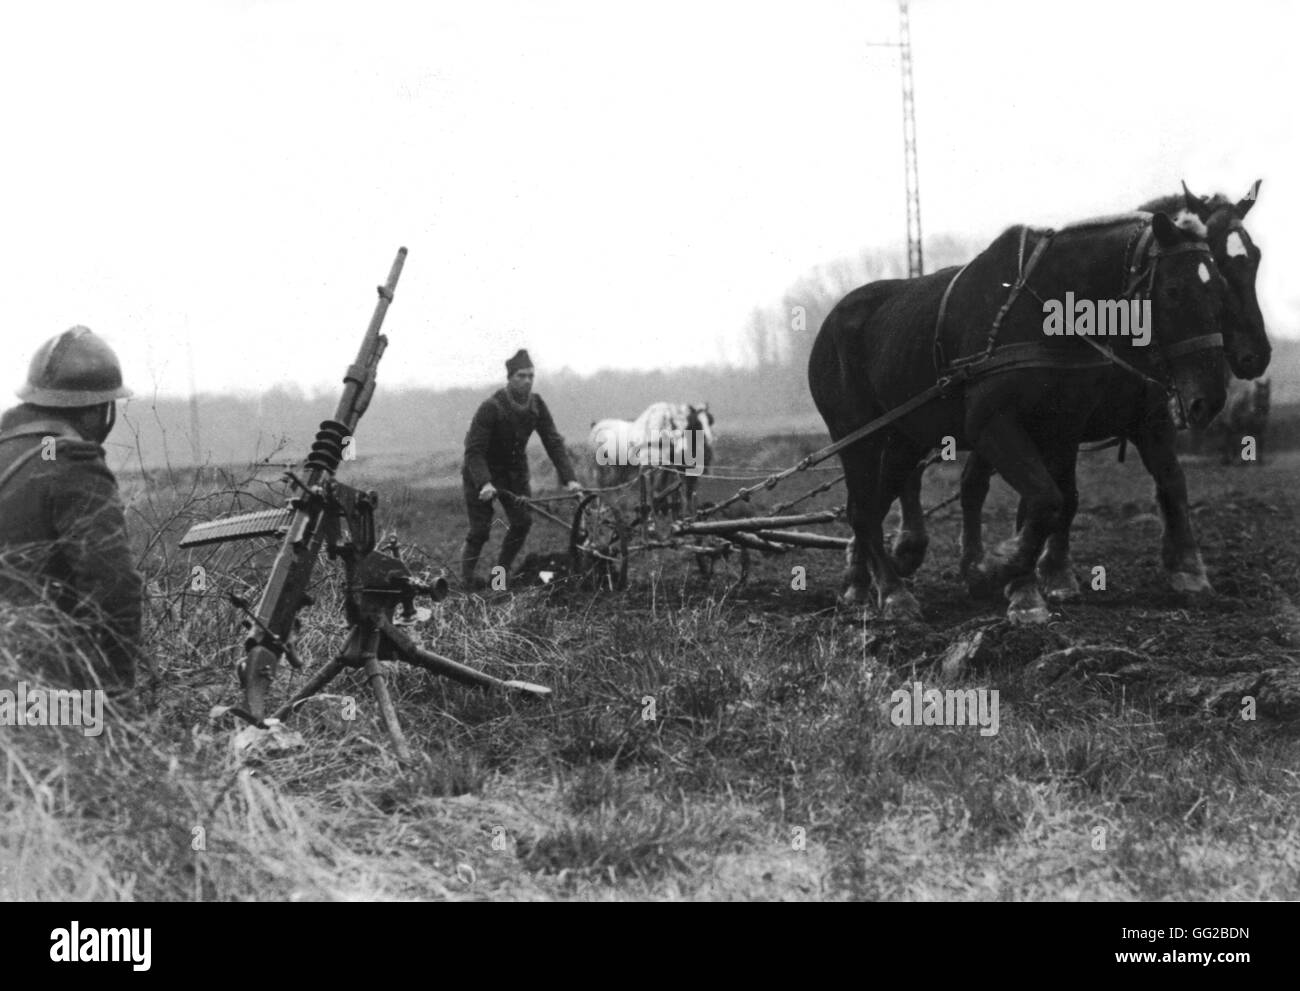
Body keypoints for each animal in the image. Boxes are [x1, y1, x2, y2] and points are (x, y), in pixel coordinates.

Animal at [811, 211, 1227, 621]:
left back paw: (864, 581)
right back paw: (892, 592)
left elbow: (1051, 503)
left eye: (1219, 288)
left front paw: (1016, 584)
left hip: (905, 435)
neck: (1047, 311)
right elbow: (1044, 499)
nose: (1211, 399)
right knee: (863, 509)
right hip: (855, 434)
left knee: (879, 499)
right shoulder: (992, 424)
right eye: (1173, 291)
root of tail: (832, 319)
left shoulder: (1064, 429)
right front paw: (1000, 572)